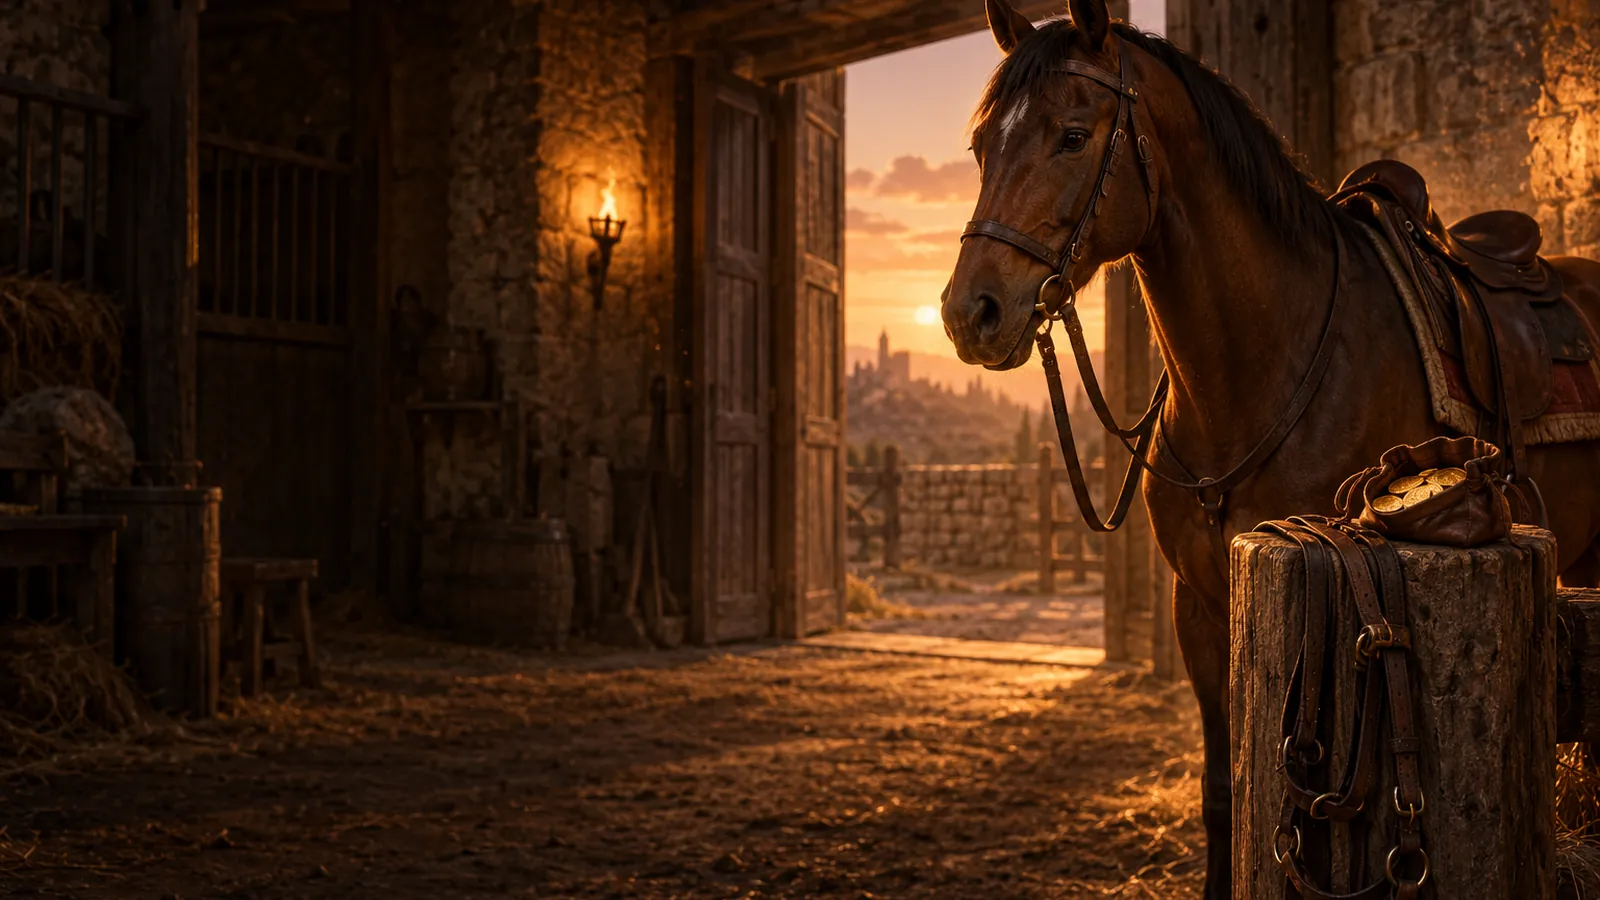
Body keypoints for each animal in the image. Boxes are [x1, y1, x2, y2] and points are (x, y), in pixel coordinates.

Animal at [940, 1, 1600, 897]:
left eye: (1073, 136)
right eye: (982, 147)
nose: (969, 313)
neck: (1265, 367)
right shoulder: (1199, 602)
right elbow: (1223, 789)